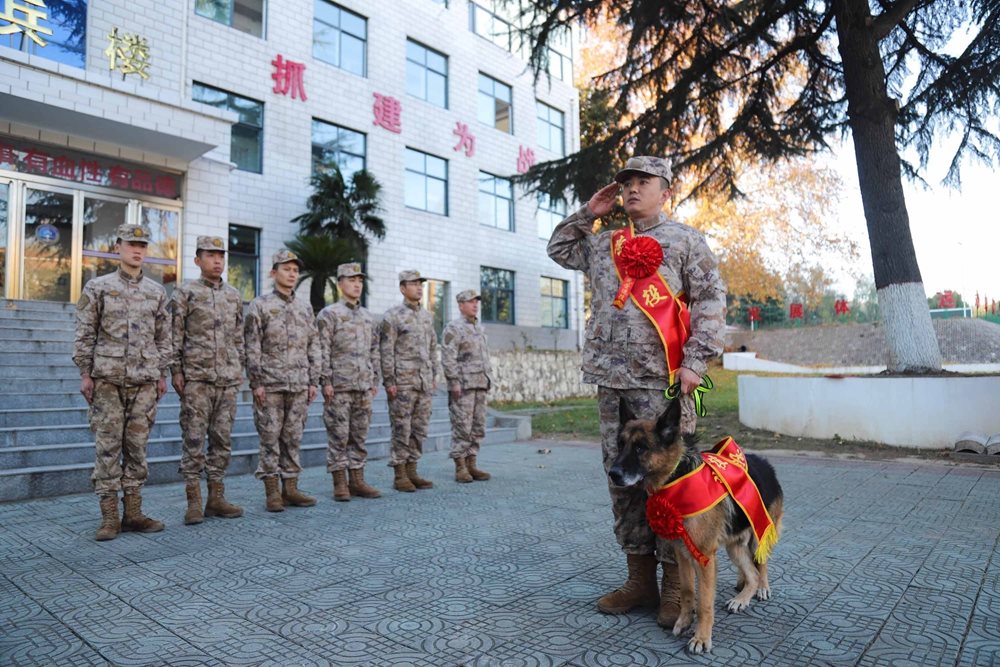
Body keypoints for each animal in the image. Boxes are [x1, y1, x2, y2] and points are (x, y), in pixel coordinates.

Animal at [604, 400, 784, 656]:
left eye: (640, 448)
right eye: (620, 445)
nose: (613, 474)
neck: (675, 476)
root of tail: (765, 463)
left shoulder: (705, 557)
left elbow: (705, 602)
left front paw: (701, 637)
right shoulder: (682, 553)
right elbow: (688, 590)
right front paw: (683, 621)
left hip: (760, 533)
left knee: (762, 565)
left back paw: (762, 589)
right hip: (734, 546)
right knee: (751, 573)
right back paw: (742, 597)